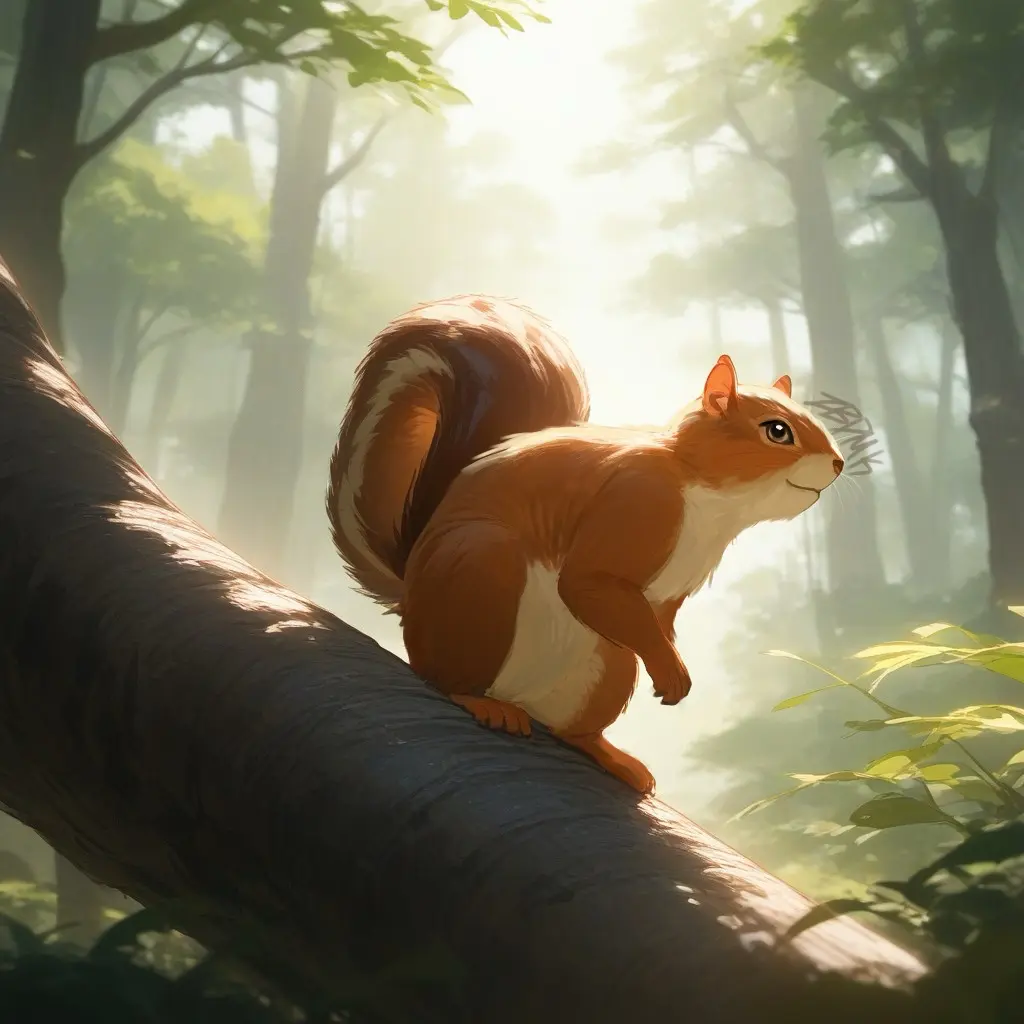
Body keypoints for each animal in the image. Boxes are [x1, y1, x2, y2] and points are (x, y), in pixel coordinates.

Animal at [327, 294, 844, 795]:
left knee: (573, 729)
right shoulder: (634, 502)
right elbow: (584, 582)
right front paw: (671, 669)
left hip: (608, 668)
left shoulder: (668, 592)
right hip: (481, 576)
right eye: (776, 430)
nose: (839, 464)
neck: (707, 495)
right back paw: (480, 702)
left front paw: (669, 664)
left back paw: (612, 756)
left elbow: (653, 619)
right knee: (439, 674)